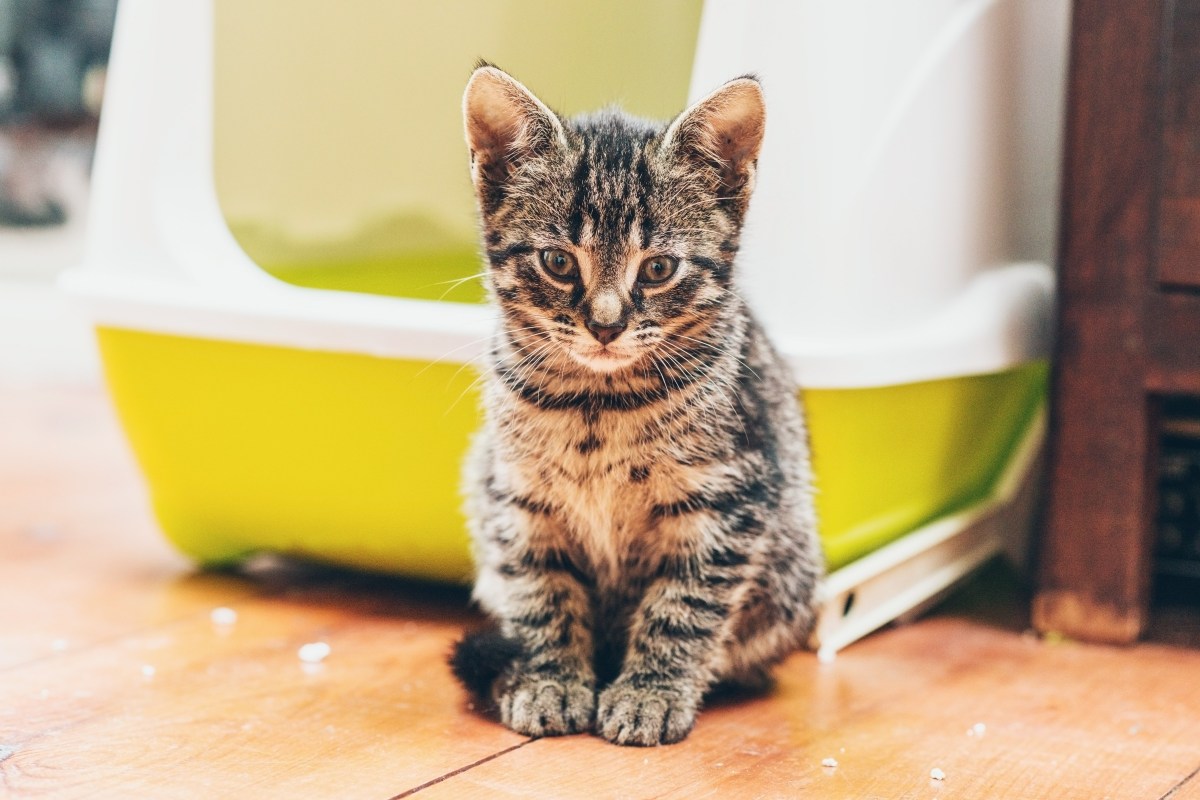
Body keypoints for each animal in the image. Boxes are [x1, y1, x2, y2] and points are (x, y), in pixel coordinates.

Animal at [451, 65, 825, 748]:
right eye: (558, 262)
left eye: (657, 268)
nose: (605, 325)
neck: (596, 404)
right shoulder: (518, 496)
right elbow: (543, 593)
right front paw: (550, 681)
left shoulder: (728, 498)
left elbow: (683, 606)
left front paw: (651, 693)